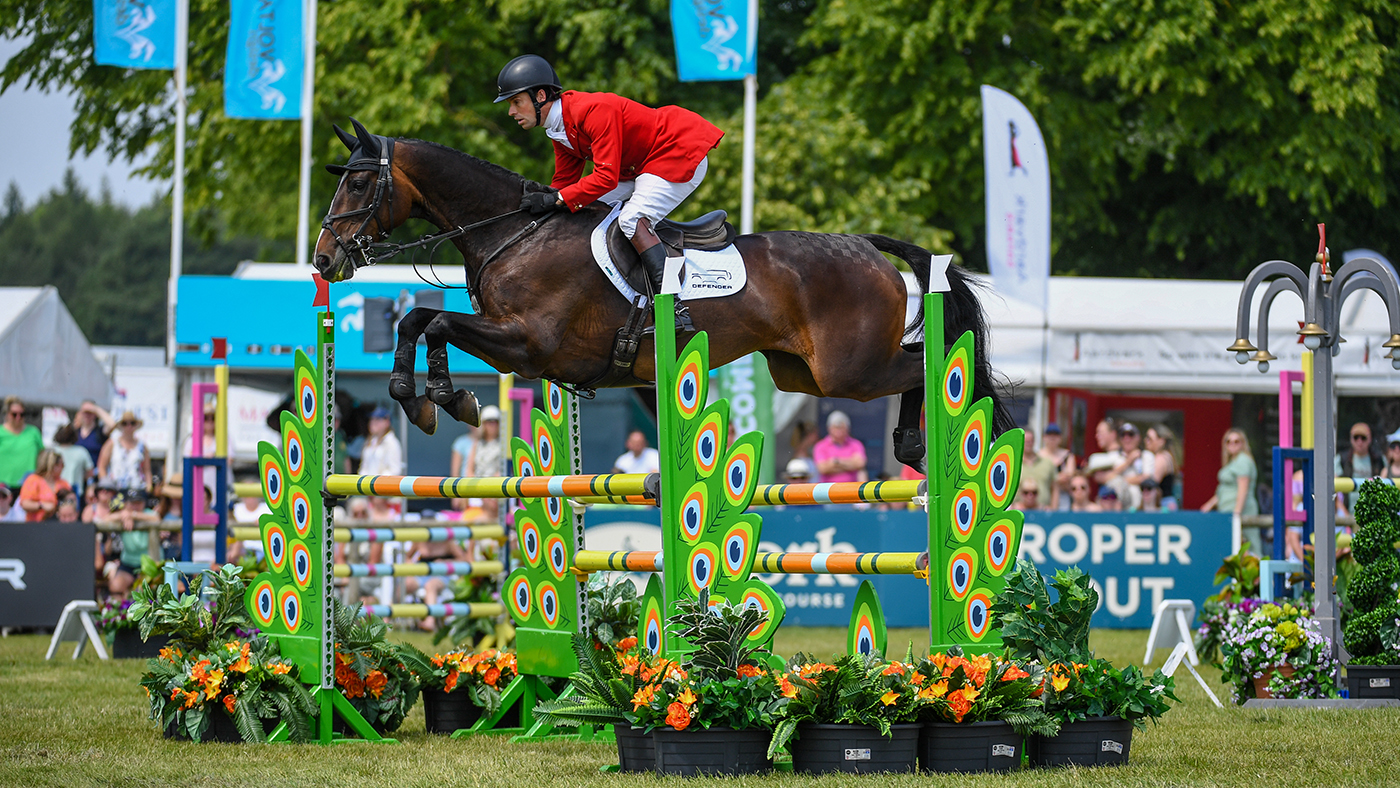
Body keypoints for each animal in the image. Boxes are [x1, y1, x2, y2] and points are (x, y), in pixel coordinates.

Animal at [315, 116, 1019, 467]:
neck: (515, 231)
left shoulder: (529, 346)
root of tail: (867, 248)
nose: (325, 259)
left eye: (359, 183)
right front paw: (420, 397)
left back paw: (919, 444)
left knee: (926, 366)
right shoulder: (519, 346)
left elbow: (433, 322)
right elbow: (416, 321)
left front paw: (442, 398)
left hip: (850, 369)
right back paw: (914, 447)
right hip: (803, 375)